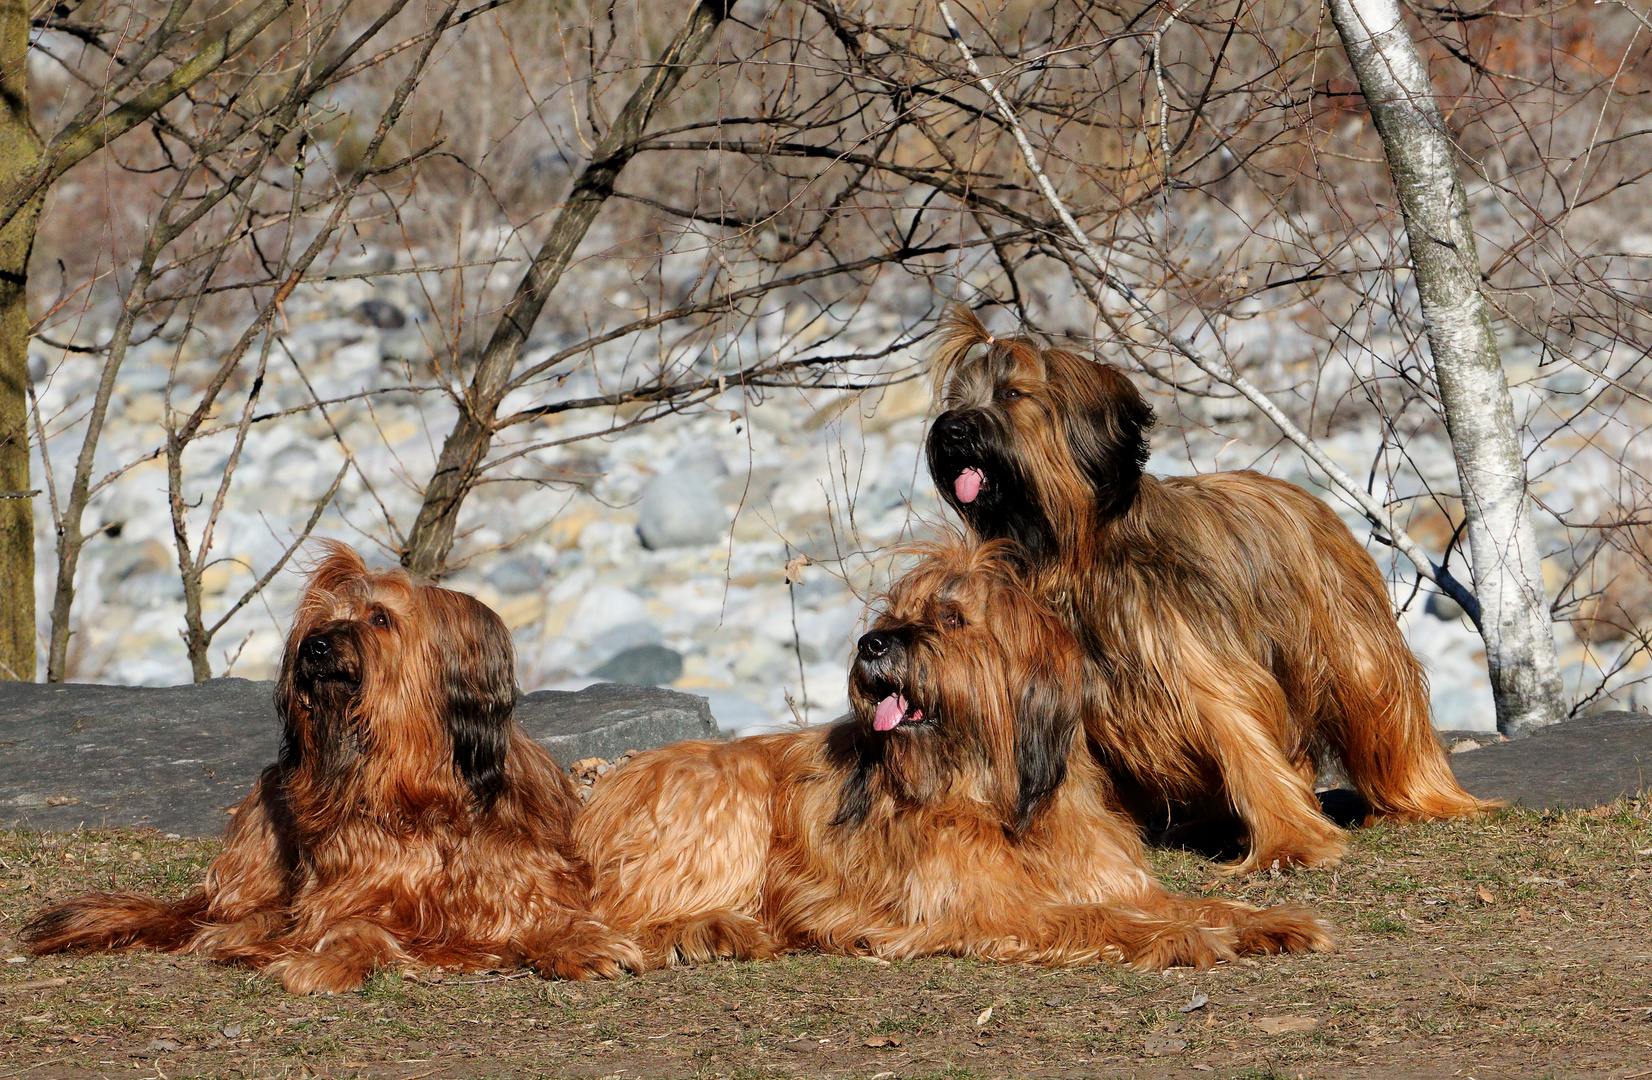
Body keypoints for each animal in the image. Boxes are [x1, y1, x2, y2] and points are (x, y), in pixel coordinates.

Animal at [19, 544, 637, 997]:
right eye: (318, 621)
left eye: (380, 619)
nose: (314, 648)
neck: (419, 793)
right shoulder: (347, 889)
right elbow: (351, 925)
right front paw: (326, 960)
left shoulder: (524, 875)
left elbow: (549, 914)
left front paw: (585, 944)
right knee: (231, 918)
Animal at [574, 541, 1334, 971]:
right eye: (892, 611)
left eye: (950, 619)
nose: (872, 644)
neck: (995, 795)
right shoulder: (993, 907)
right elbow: (1098, 918)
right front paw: (1182, 940)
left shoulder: (1112, 877)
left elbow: (1182, 901)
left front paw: (1267, 921)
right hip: (721, 795)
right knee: (621, 916)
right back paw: (712, 928)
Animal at [931, 308, 1500, 878]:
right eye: (956, 399)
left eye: (1011, 394)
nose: (952, 430)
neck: (1078, 559)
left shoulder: (1203, 666)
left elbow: (1244, 741)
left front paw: (1289, 845)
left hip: (1349, 645)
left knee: (1382, 708)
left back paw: (1423, 799)